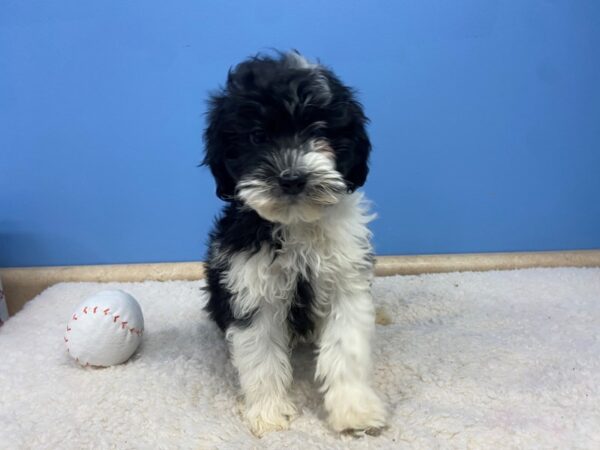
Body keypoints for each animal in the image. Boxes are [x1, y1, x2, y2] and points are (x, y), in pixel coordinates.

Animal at [204, 51, 386, 436]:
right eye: (257, 136)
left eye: (318, 131)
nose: (291, 178)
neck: (298, 222)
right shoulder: (251, 285)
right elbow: (259, 354)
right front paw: (268, 413)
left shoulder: (346, 279)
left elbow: (346, 347)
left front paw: (354, 411)